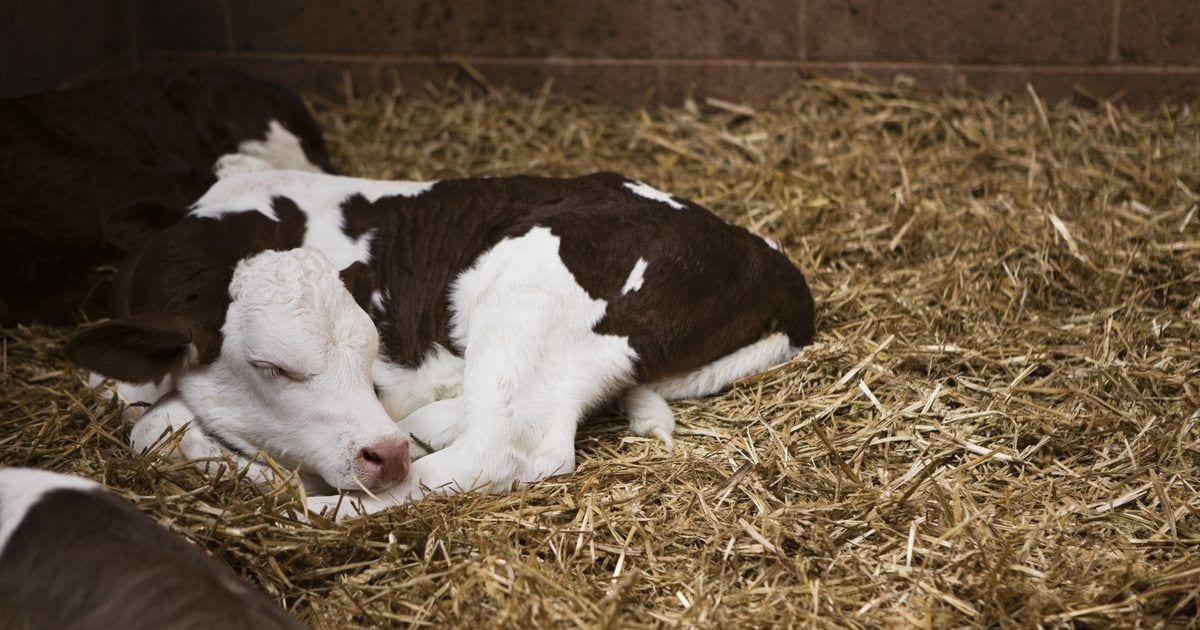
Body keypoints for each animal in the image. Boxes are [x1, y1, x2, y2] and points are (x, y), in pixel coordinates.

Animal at [65, 168, 816, 516]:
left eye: (368, 351)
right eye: (271, 366)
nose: (384, 452)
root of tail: (765, 257)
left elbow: (157, 426)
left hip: (527, 298)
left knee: (501, 450)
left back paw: (317, 503)